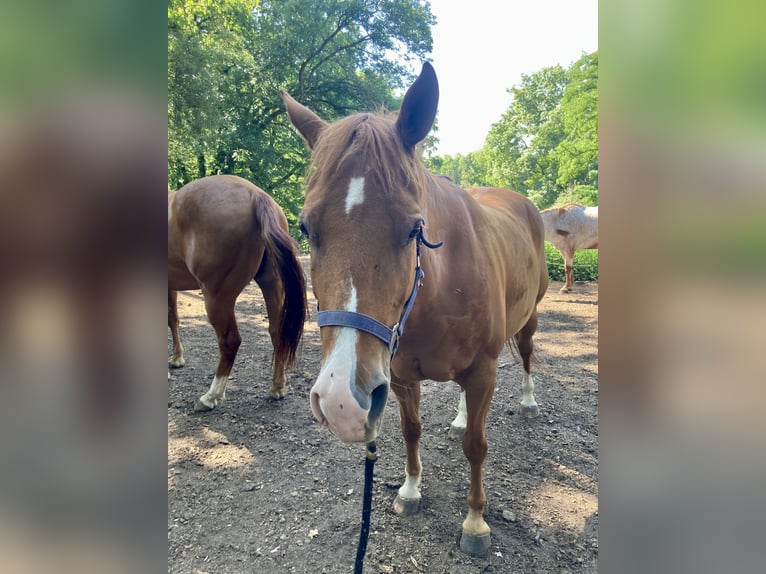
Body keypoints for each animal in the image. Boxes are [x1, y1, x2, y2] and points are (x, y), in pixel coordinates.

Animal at [168, 175, 307, 412]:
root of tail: (255, 195)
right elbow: (173, 319)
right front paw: (177, 358)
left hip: (217, 298)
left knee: (230, 341)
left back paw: (211, 396)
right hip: (270, 284)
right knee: (277, 332)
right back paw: (277, 387)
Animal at [281, 62, 548, 556]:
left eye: (414, 229)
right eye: (306, 227)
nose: (341, 401)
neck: (438, 291)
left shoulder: (482, 371)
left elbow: (477, 447)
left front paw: (475, 523)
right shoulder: (400, 376)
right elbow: (411, 431)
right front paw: (409, 491)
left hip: (530, 320)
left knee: (524, 355)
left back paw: (527, 400)